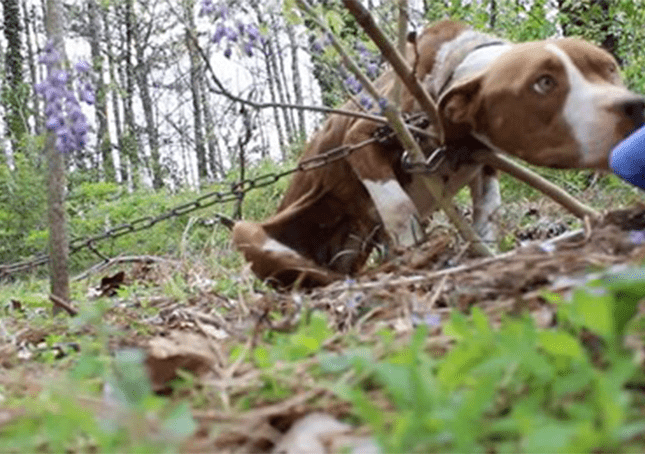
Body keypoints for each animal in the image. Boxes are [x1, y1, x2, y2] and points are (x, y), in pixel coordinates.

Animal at [231, 20, 644, 288]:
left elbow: (488, 211)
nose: (634, 107)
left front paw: (484, 253)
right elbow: (398, 204)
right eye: (543, 83)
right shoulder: (362, 135)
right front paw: (416, 247)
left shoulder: (483, 161)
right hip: (245, 230)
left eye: (610, 68)